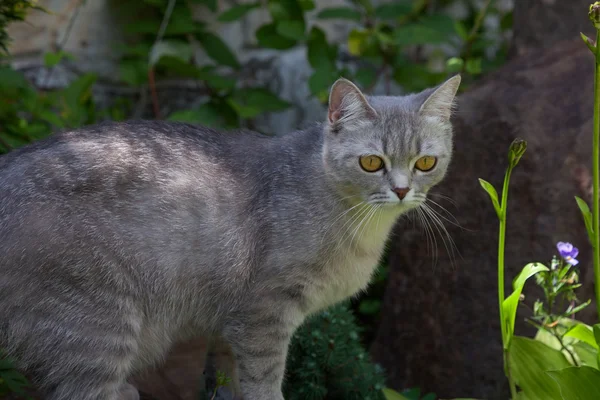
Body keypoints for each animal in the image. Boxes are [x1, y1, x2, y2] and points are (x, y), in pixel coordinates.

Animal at [0, 76, 460, 400]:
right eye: (370, 162)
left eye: (425, 162)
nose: (401, 190)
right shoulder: (264, 313)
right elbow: (264, 380)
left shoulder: (230, 322)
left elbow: (226, 376)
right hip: (96, 329)